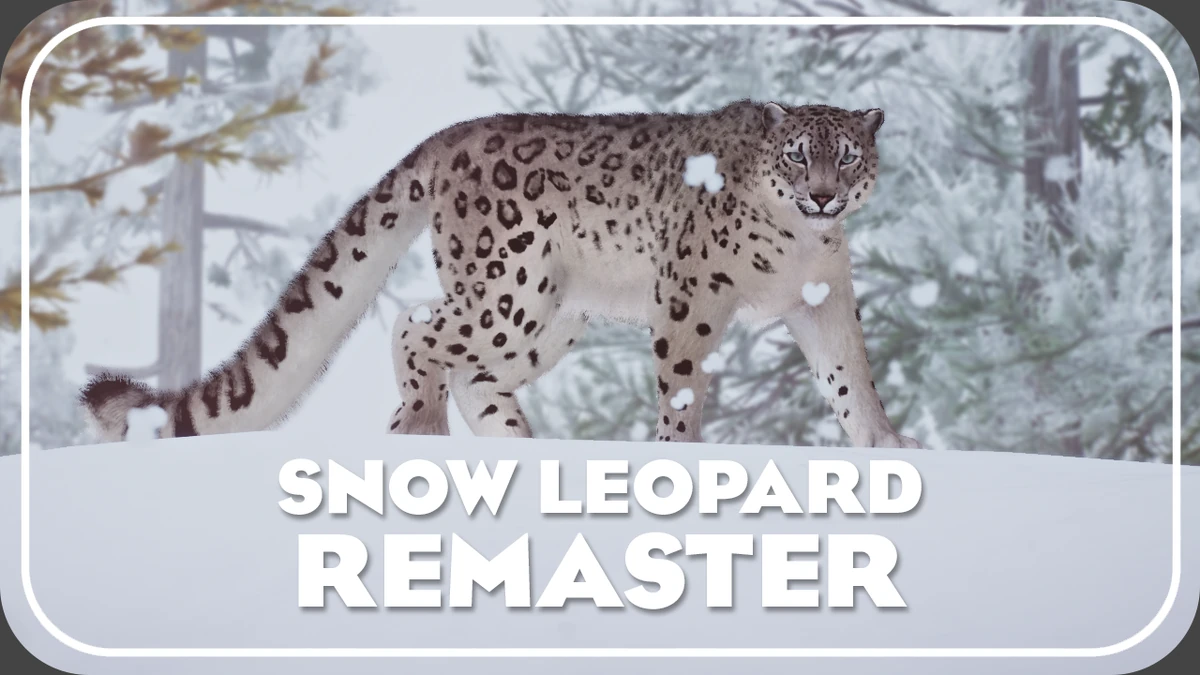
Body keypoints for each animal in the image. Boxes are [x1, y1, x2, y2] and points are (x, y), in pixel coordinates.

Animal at [80, 99, 921, 450]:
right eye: (797, 155)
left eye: (848, 155)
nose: (824, 194)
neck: (799, 245)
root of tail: (453, 134)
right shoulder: (687, 301)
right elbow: (682, 390)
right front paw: (681, 455)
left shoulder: (824, 303)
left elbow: (851, 379)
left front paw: (887, 447)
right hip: (506, 287)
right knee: (415, 326)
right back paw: (424, 429)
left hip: (547, 316)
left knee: (471, 369)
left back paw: (514, 443)